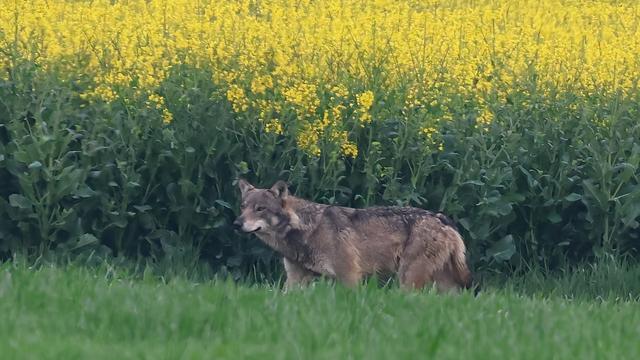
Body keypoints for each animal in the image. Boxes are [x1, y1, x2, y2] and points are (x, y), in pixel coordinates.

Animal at [232, 179, 472, 292]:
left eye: (260, 209)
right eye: (243, 207)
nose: (236, 223)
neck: (306, 229)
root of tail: (441, 218)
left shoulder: (349, 277)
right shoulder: (295, 280)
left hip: (408, 279)